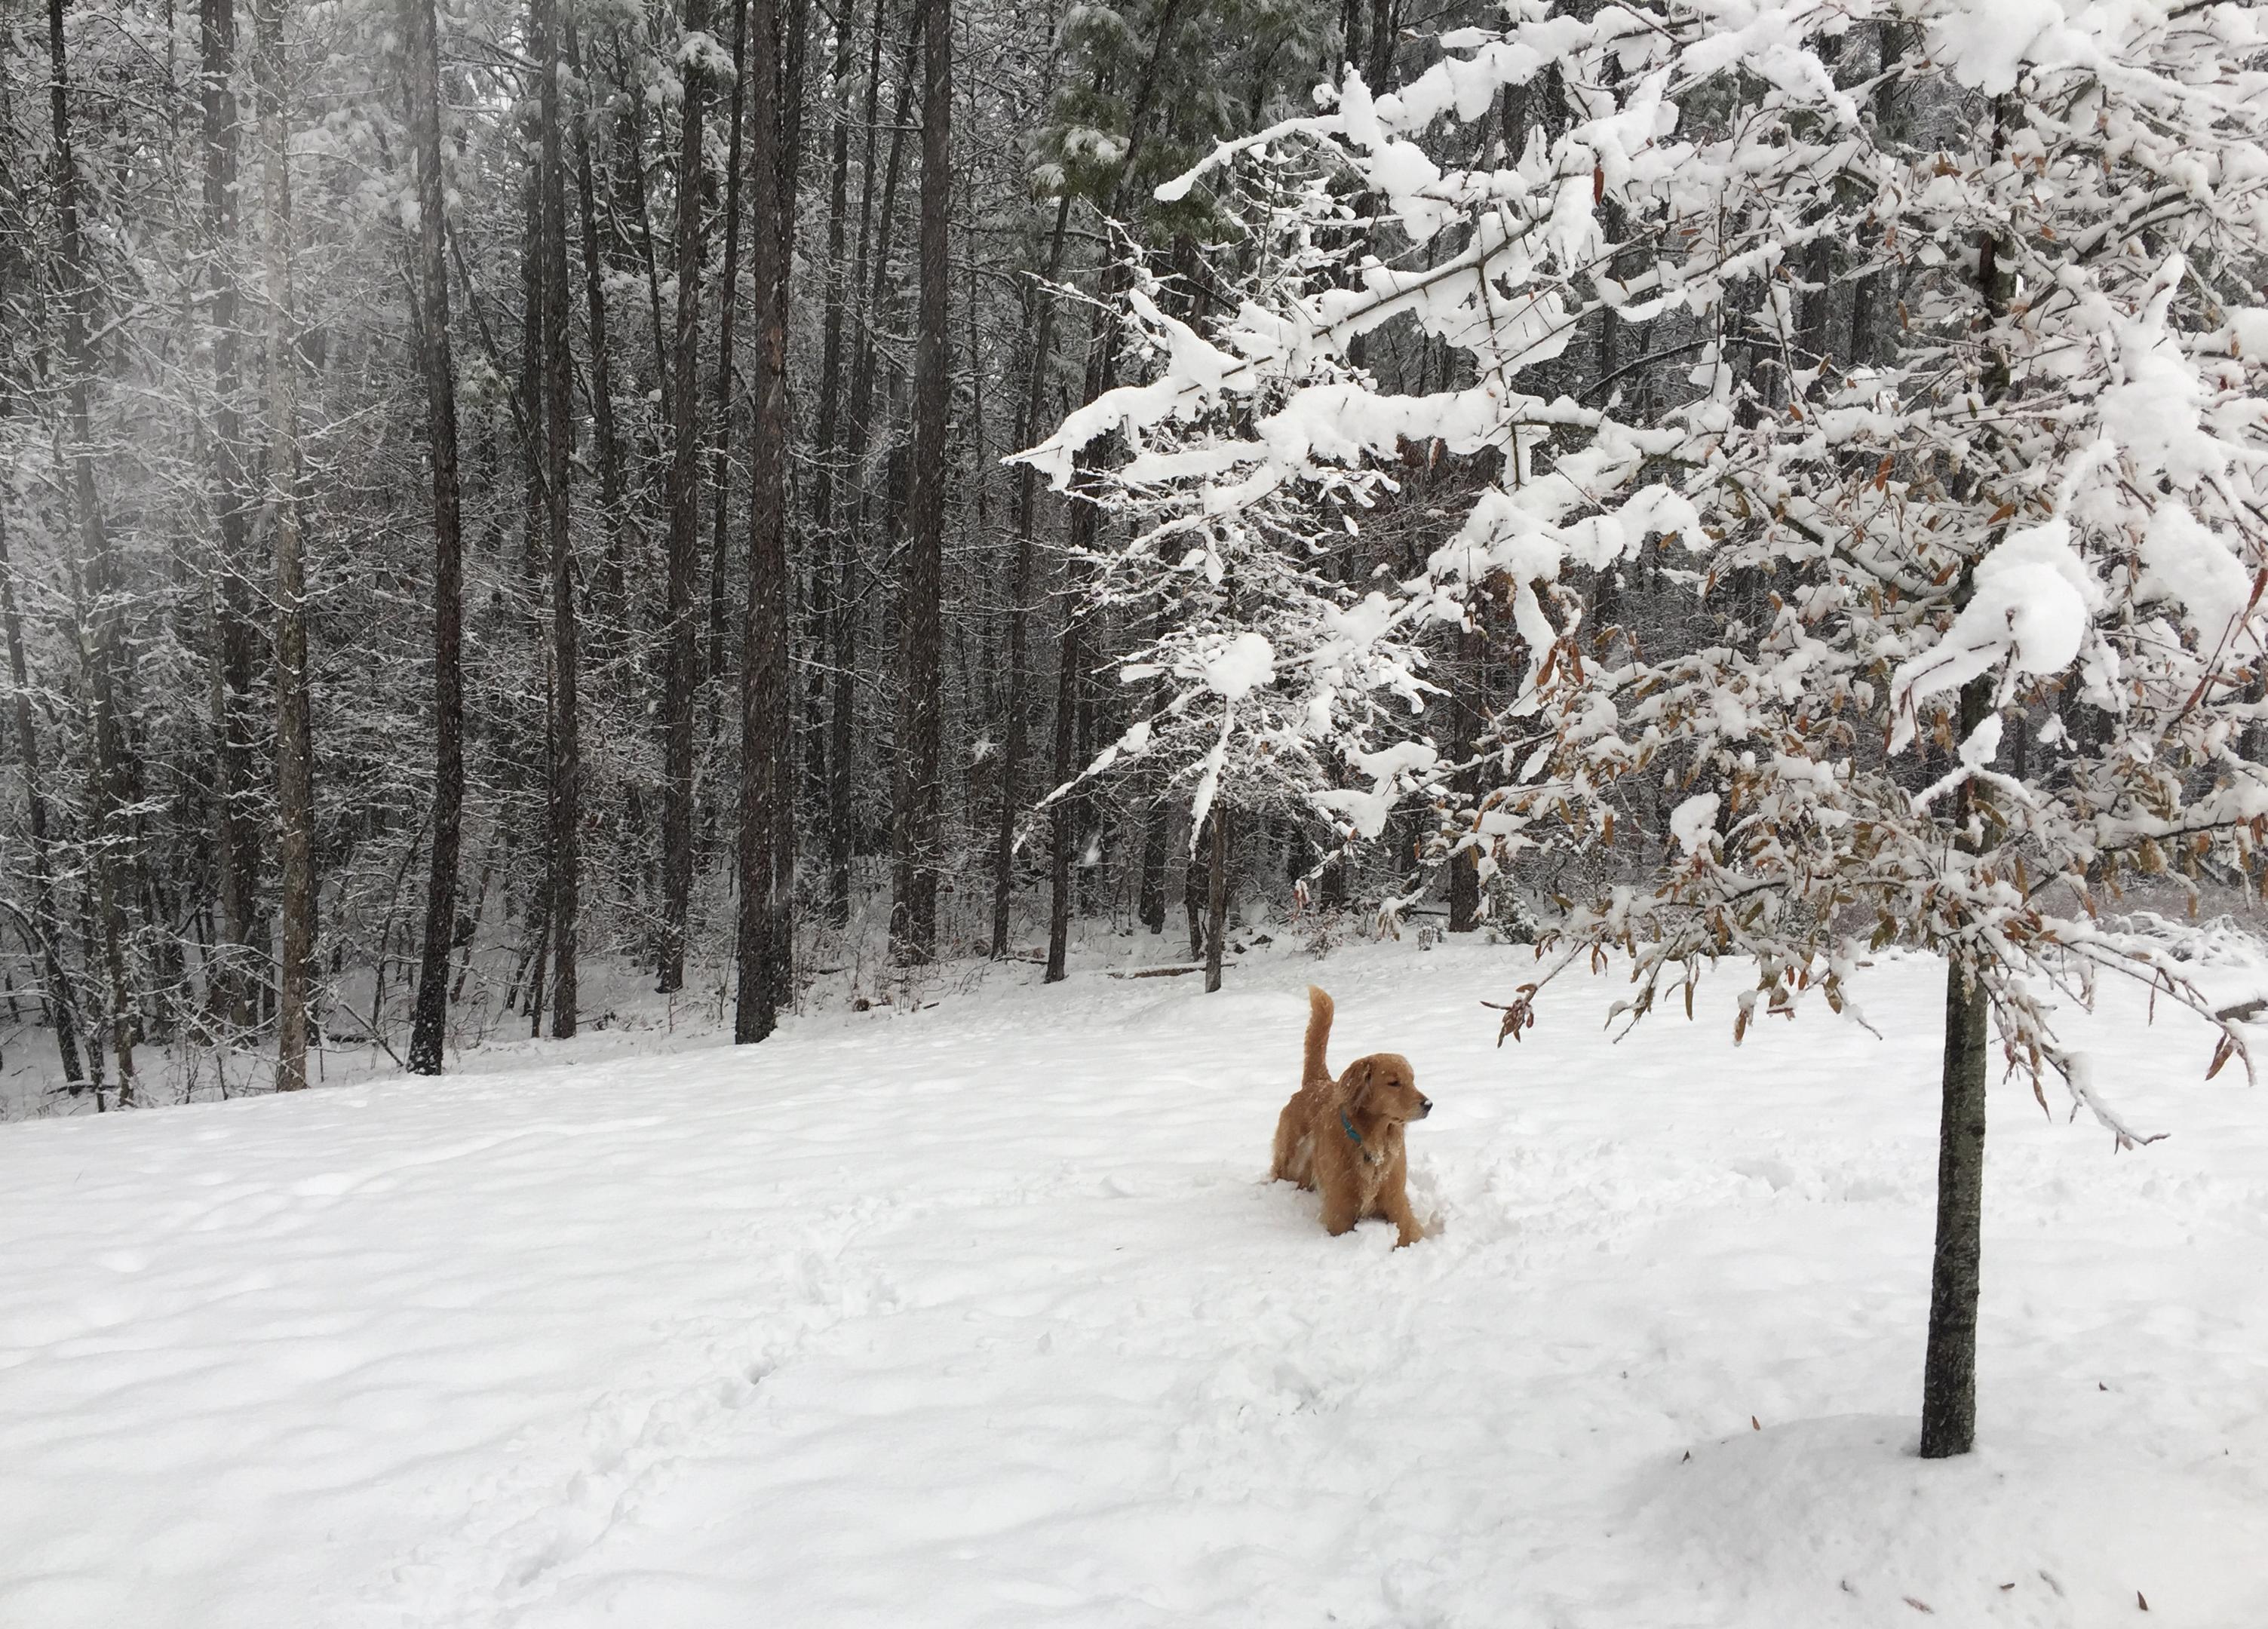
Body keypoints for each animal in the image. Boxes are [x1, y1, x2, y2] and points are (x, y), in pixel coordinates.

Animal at [1269, 984, 1424, 1252]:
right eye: (1394, 1083)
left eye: (1413, 1080)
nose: (1429, 1104)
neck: (1370, 1141)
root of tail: (1317, 1081)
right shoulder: (1340, 1209)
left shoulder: (1395, 1199)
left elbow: (1408, 1231)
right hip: (1290, 1158)